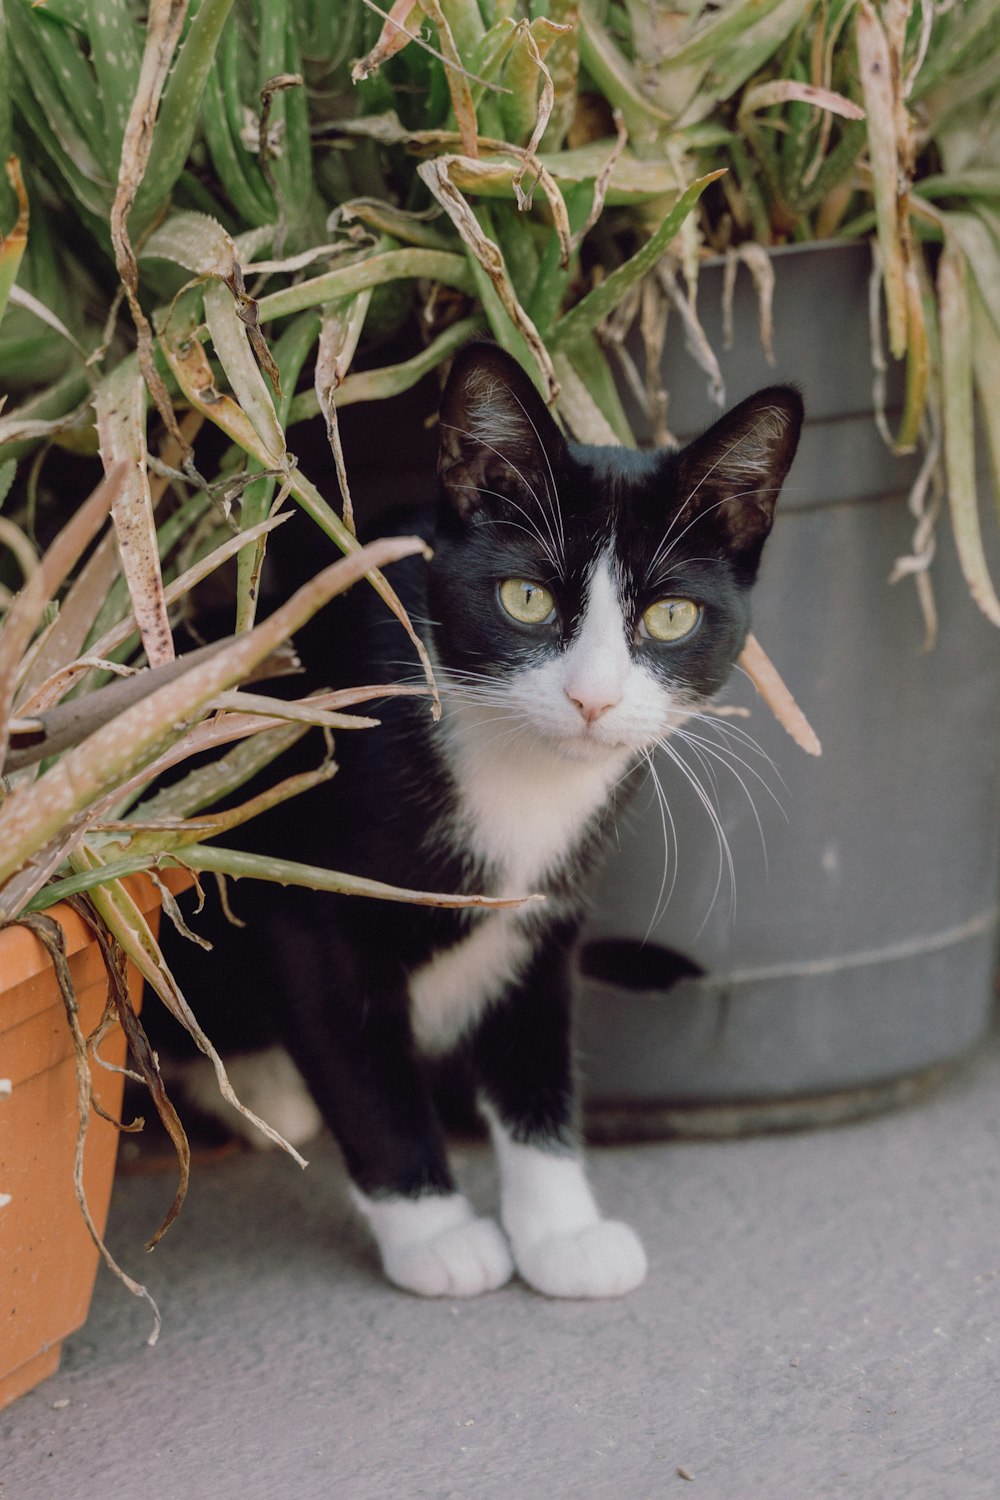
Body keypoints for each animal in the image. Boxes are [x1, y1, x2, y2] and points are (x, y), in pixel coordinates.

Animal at [167, 343, 803, 1302]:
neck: (520, 783)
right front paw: (436, 1231)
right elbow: (364, 1069)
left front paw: (562, 1232)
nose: (592, 699)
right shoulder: (303, 904)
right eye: (525, 600)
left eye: (672, 615)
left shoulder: (541, 915)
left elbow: (535, 1056)